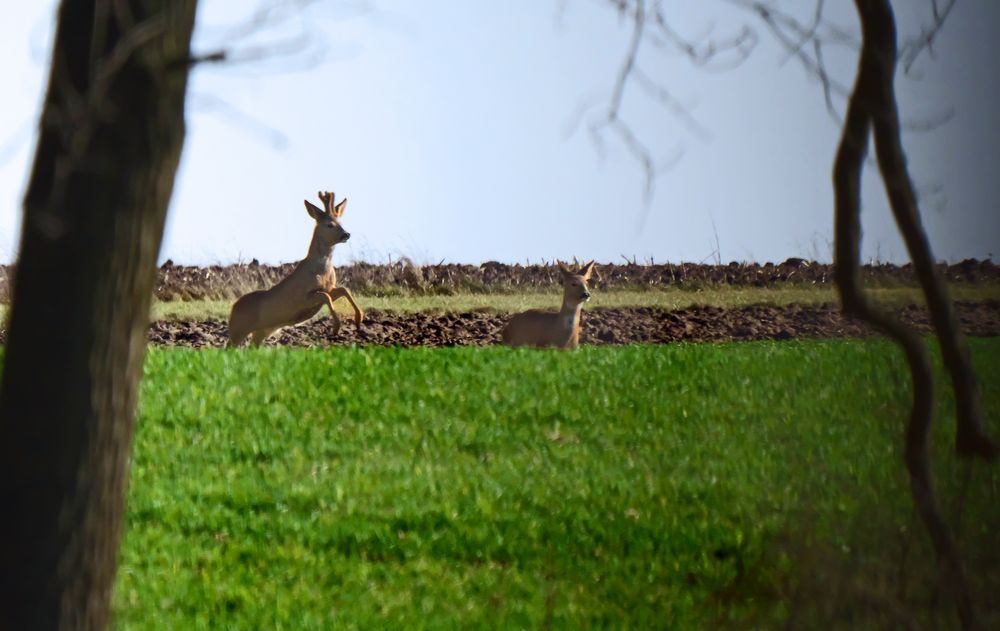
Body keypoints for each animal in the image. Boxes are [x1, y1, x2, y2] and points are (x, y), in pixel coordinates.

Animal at [227, 190, 364, 348]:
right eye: (329, 225)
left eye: (341, 223)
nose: (346, 234)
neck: (321, 271)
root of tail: (233, 308)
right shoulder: (303, 297)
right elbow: (326, 296)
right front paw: (336, 327)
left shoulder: (330, 288)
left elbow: (343, 290)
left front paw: (359, 319)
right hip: (238, 329)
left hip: (261, 331)